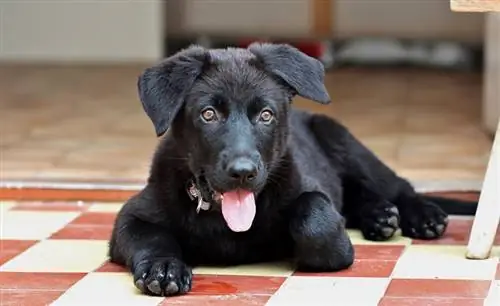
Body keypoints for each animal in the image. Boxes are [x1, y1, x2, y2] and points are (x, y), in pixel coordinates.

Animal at [109, 43, 476, 296]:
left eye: (266, 115)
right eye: (208, 114)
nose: (243, 172)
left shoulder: (311, 191)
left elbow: (315, 217)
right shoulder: (131, 216)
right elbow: (151, 235)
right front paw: (164, 267)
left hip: (342, 140)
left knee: (396, 186)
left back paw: (420, 215)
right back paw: (379, 216)